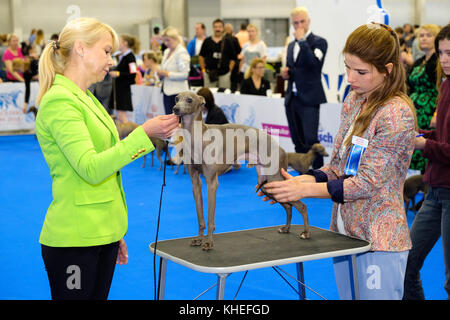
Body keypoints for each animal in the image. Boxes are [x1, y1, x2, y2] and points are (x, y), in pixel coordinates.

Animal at [172, 90, 310, 250]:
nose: (175, 109)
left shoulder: (212, 183)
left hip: (274, 179)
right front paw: (199, 239)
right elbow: (200, 217)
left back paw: (306, 232)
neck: (198, 136)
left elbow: (210, 219)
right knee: (288, 206)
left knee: (301, 206)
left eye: (189, 99)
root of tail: (281, 148)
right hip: (267, 184)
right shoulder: (195, 182)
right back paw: (286, 228)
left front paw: (208, 242)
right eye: (176, 98)